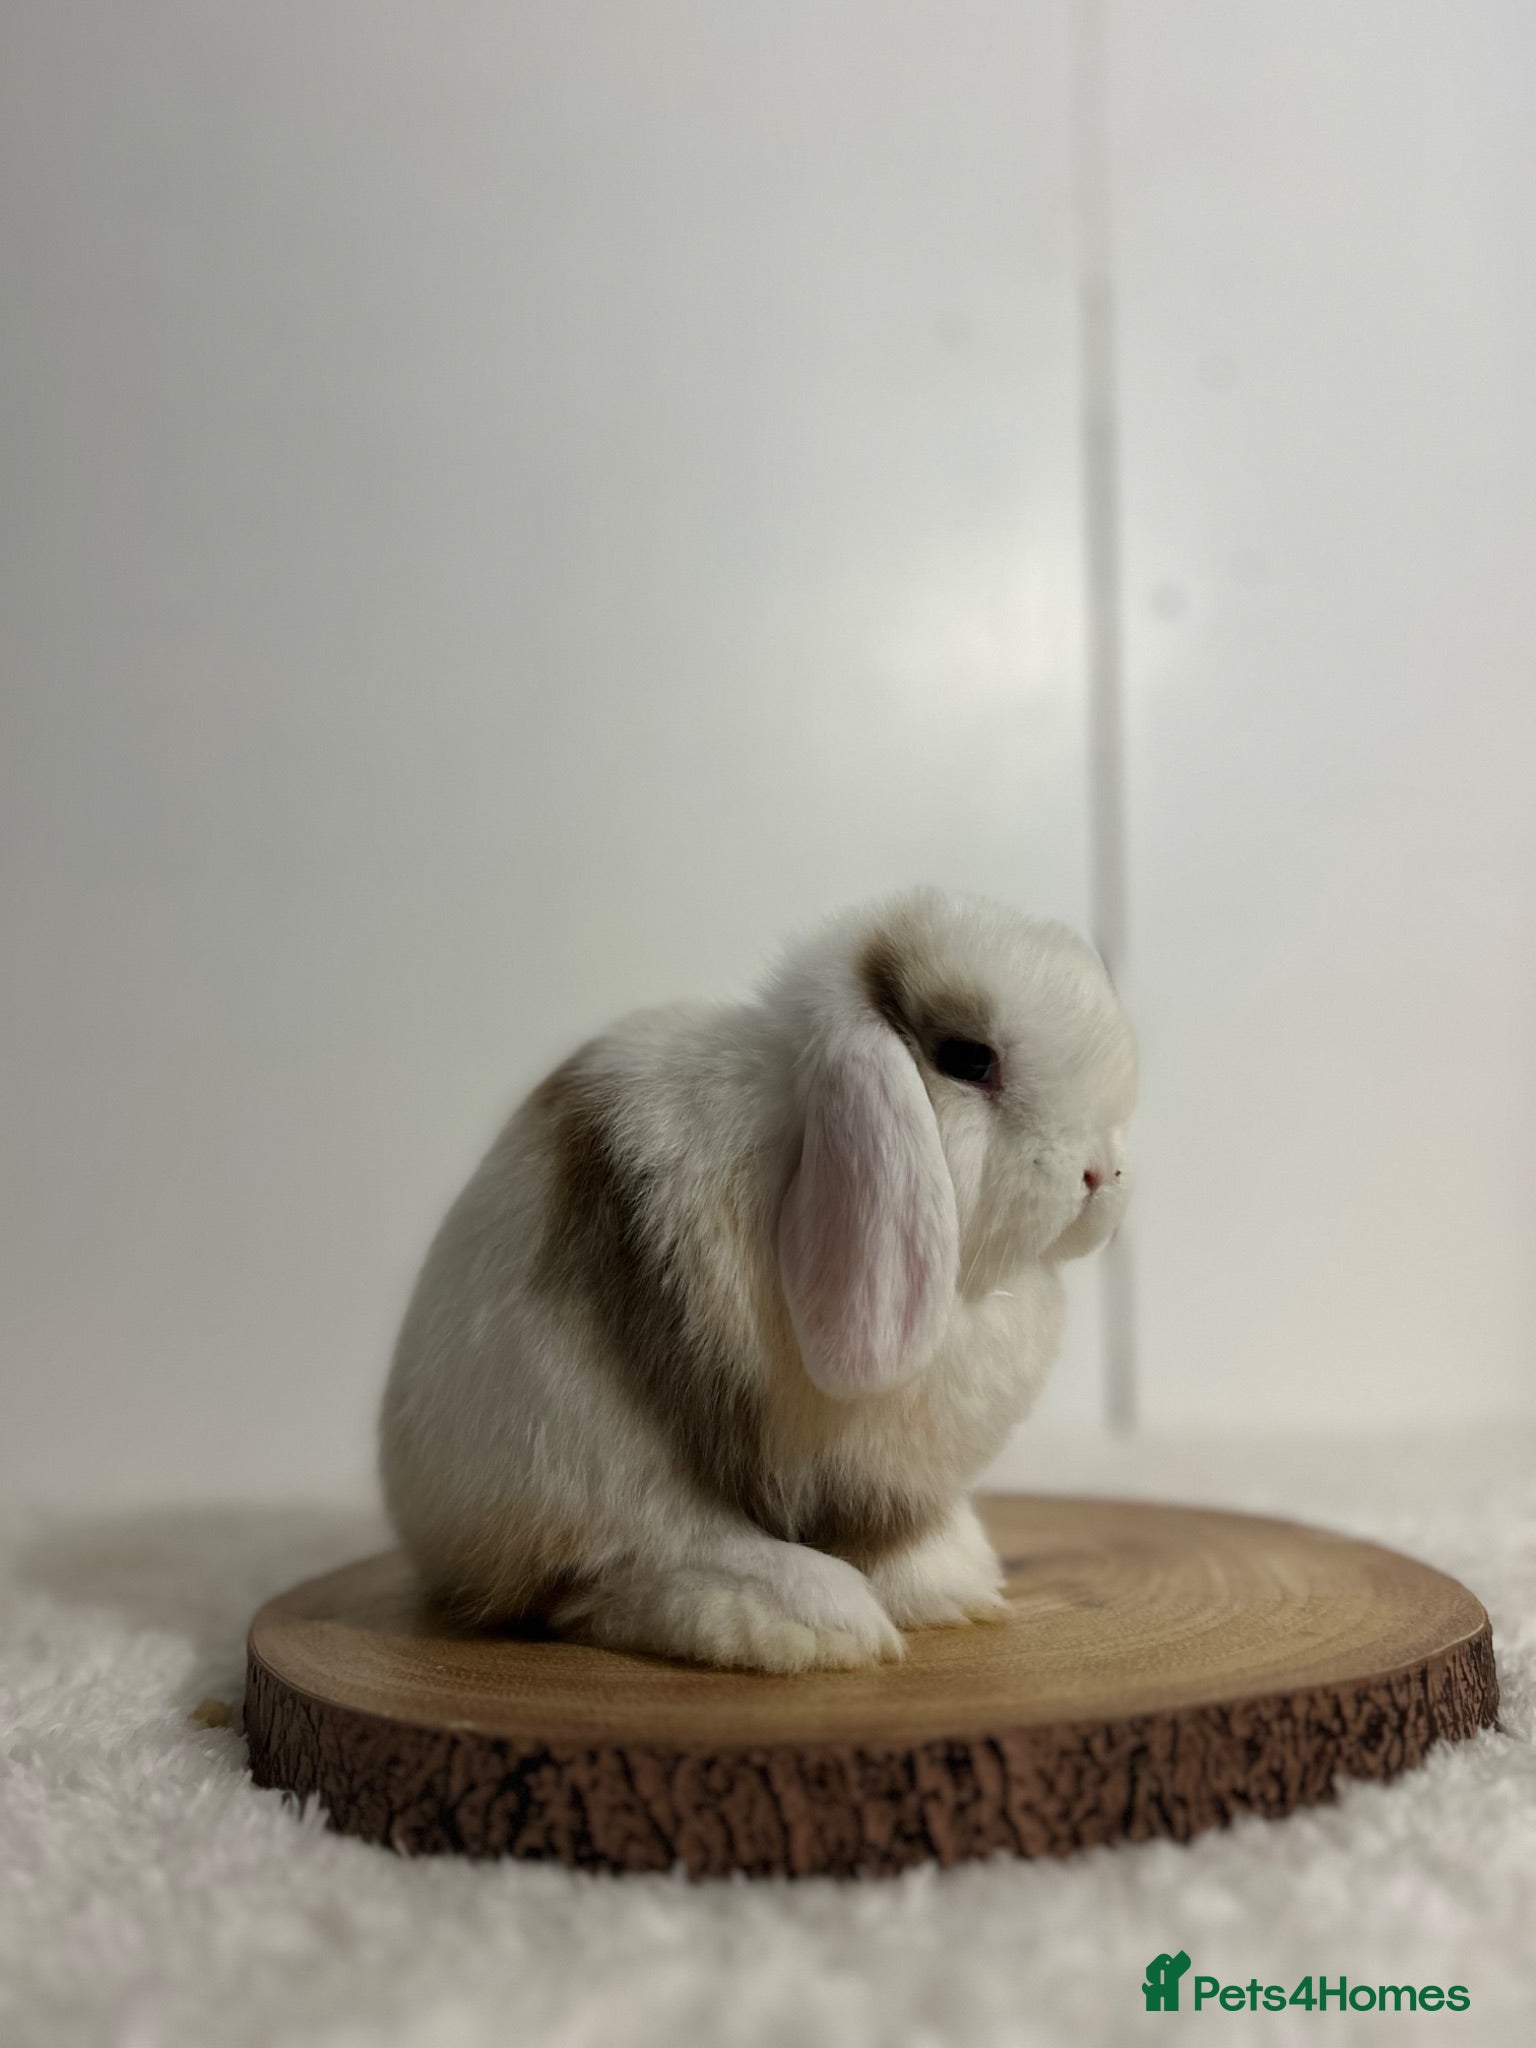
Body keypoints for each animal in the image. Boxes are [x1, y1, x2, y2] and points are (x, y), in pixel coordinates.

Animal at [380, 886, 1136, 1673]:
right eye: (966, 1059)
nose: (1103, 1173)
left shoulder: (887, 1485)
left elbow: (900, 1541)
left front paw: (958, 1591)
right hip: (575, 1444)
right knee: (627, 1566)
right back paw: (810, 1622)